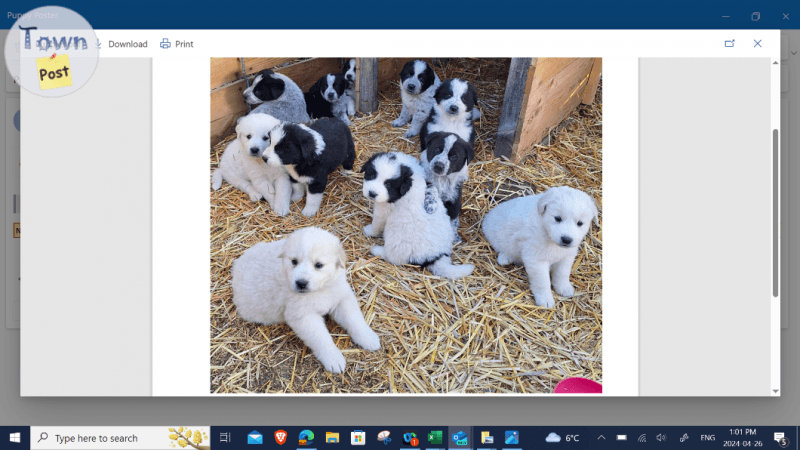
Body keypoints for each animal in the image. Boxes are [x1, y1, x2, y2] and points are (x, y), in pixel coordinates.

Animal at [231, 227, 382, 374]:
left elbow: (355, 320)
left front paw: (368, 338)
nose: (301, 283)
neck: (319, 290)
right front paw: (334, 359)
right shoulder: (304, 317)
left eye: (319, 265)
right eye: (294, 261)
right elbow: (321, 338)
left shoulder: (341, 297)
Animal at [358, 151, 476, 280]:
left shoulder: (383, 210)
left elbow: (377, 224)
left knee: (394, 258)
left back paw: (377, 250)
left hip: (397, 240)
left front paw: (369, 231)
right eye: (372, 175)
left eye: (388, 184)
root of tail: (436, 258)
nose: (372, 193)